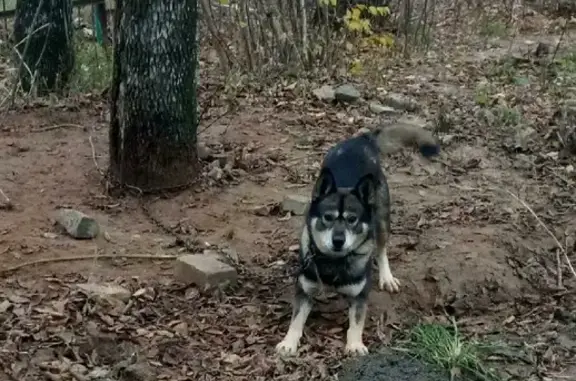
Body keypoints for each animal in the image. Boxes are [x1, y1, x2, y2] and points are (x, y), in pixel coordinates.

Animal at [276, 122, 438, 356]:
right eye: (327, 217)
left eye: (352, 219)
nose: (338, 240)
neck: (334, 262)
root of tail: (362, 139)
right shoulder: (304, 291)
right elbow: (296, 319)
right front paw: (289, 342)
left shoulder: (359, 296)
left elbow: (357, 322)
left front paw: (355, 344)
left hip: (381, 220)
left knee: (381, 249)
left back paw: (387, 277)